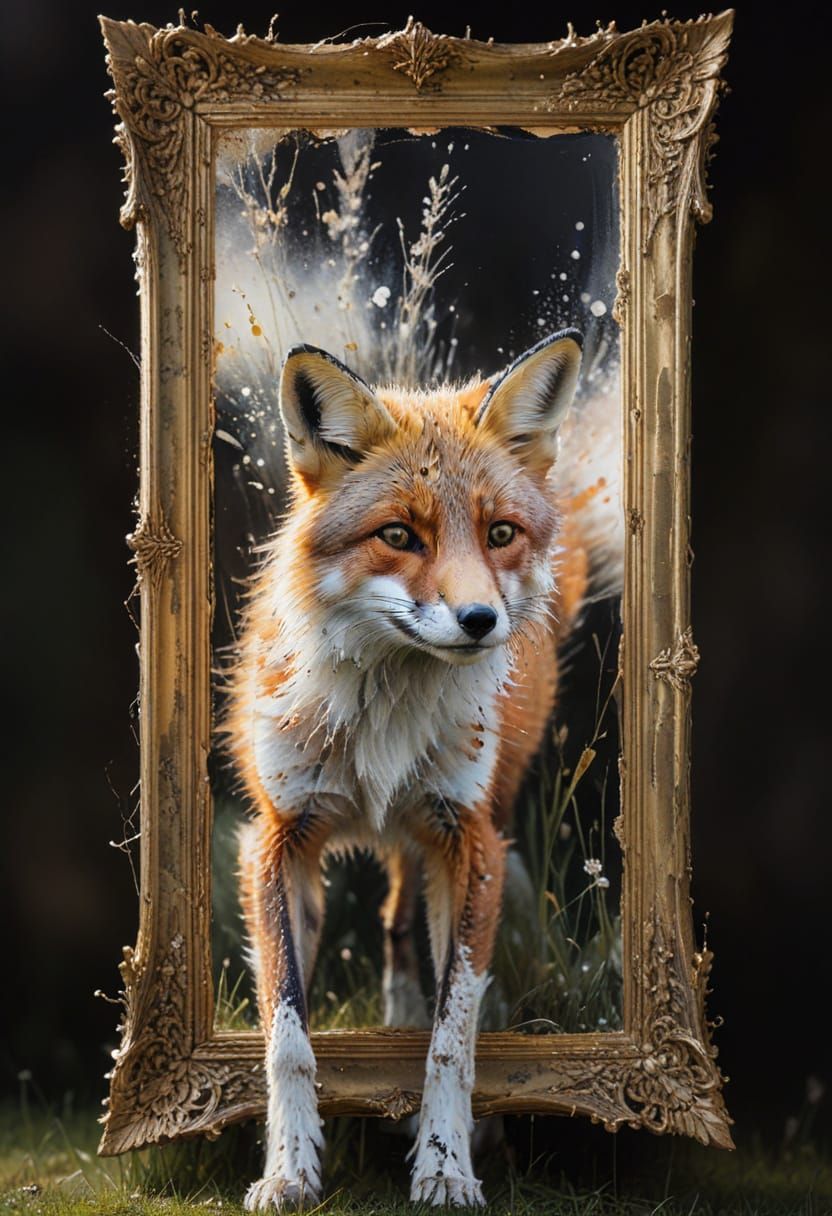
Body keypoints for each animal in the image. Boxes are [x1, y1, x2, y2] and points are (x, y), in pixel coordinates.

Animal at [226, 327, 604, 1211]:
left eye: (498, 533)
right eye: (400, 535)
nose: (479, 620)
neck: (384, 725)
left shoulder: (470, 842)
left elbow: (451, 1036)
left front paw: (445, 1163)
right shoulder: (277, 840)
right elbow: (286, 1034)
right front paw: (289, 1168)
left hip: (446, 833)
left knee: (406, 936)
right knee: (396, 931)